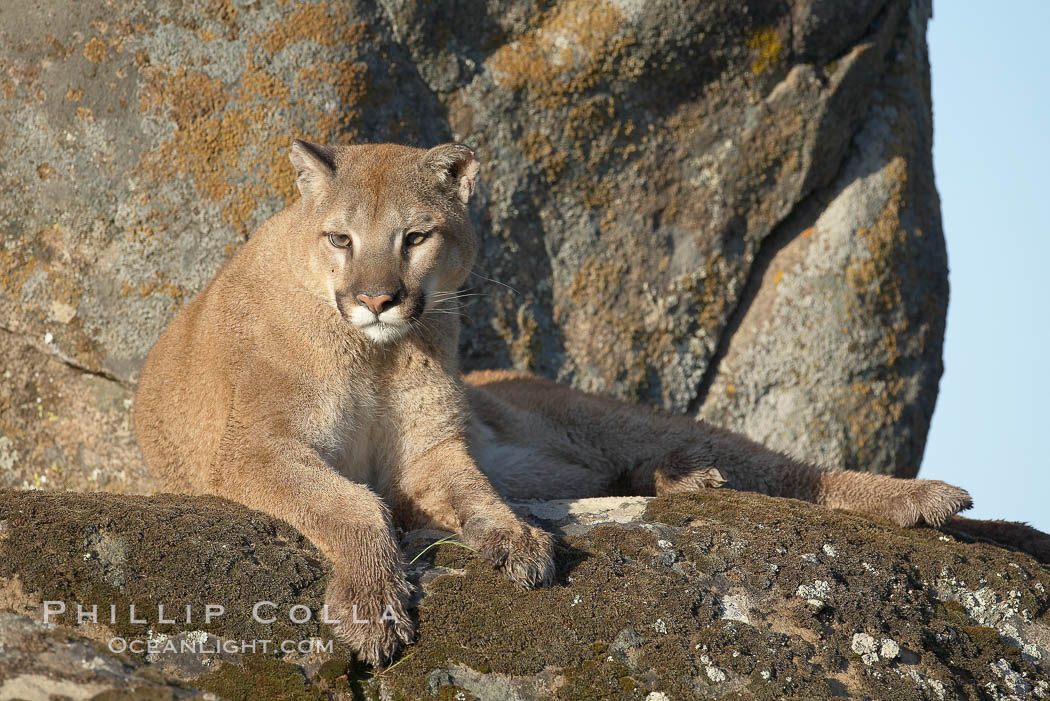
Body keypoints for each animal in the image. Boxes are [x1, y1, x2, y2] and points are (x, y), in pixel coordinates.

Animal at [135, 138, 970, 663]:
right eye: (340, 239)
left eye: (414, 237)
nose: (376, 299)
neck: (377, 354)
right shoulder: (260, 448)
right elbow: (352, 503)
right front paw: (374, 605)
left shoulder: (434, 447)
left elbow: (472, 489)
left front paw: (515, 540)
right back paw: (685, 480)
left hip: (607, 416)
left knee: (783, 469)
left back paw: (921, 498)